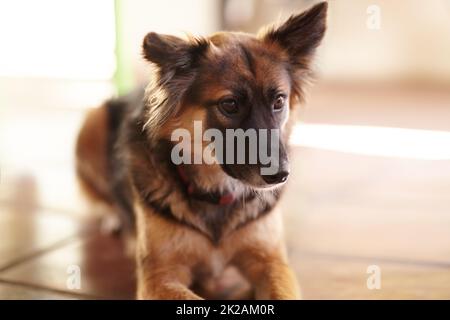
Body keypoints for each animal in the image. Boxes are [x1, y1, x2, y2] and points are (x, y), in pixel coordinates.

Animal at [74, 1, 326, 298]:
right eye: (229, 104)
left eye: (279, 101)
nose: (280, 175)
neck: (216, 192)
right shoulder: (159, 275)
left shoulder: (271, 261)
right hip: (91, 123)